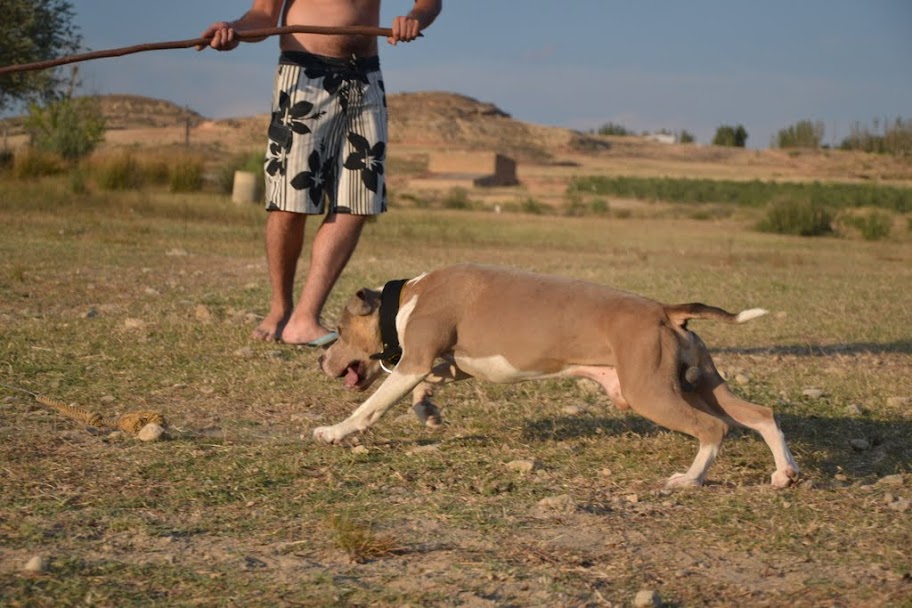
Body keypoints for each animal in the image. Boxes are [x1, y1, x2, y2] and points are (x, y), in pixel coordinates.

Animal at [316, 262, 800, 490]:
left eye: (339, 329)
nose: (321, 360)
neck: (408, 297)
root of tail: (665, 311)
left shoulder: (414, 360)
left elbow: (371, 406)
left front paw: (334, 431)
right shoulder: (446, 363)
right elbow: (429, 383)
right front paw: (428, 412)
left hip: (651, 393)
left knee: (713, 428)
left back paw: (690, 479)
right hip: (700, 384)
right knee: (760, 414)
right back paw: (785, 473)